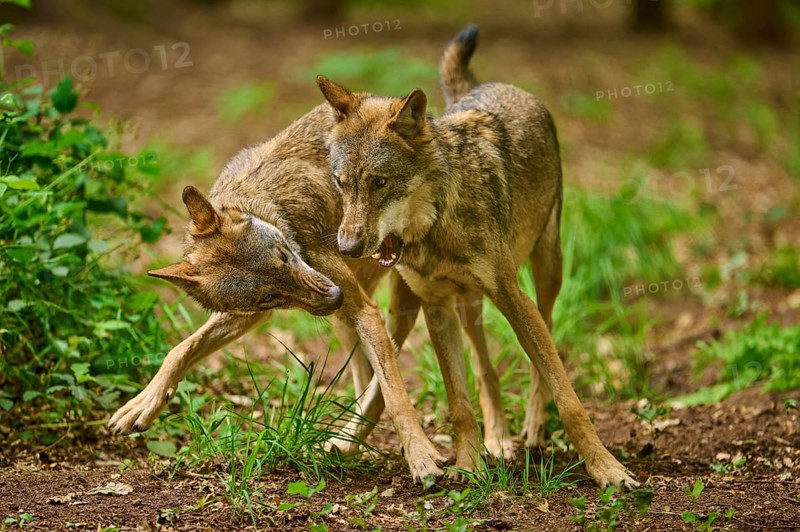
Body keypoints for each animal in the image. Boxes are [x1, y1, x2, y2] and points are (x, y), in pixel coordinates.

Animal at [316, 25, 638, 488]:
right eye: (341, 183)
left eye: (379, 181)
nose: (346, 249)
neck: (437, 223)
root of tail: (491, 86)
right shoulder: (436, 306)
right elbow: (459, 402)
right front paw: (469, 465)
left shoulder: (513, 297)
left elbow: (568, 397)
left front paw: (607, 469)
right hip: (464, 304)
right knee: (485, 369)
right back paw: (496, 440)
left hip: (547, 272)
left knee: (546, 340)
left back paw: (533, 427)